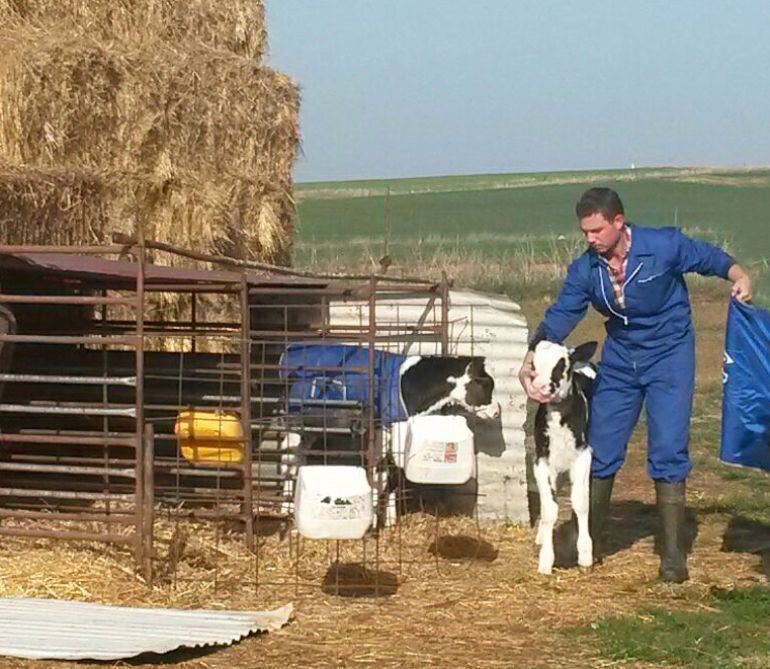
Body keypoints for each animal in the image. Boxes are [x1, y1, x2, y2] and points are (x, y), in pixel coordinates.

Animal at [532, 340, 596, 576]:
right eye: (533, 364)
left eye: (561, 365)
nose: (539, 387)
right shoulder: (541, 462)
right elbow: (550, 509)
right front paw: (545, 560)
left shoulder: (584, 455)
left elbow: (581, 503)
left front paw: (585, 555)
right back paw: (541, 537)